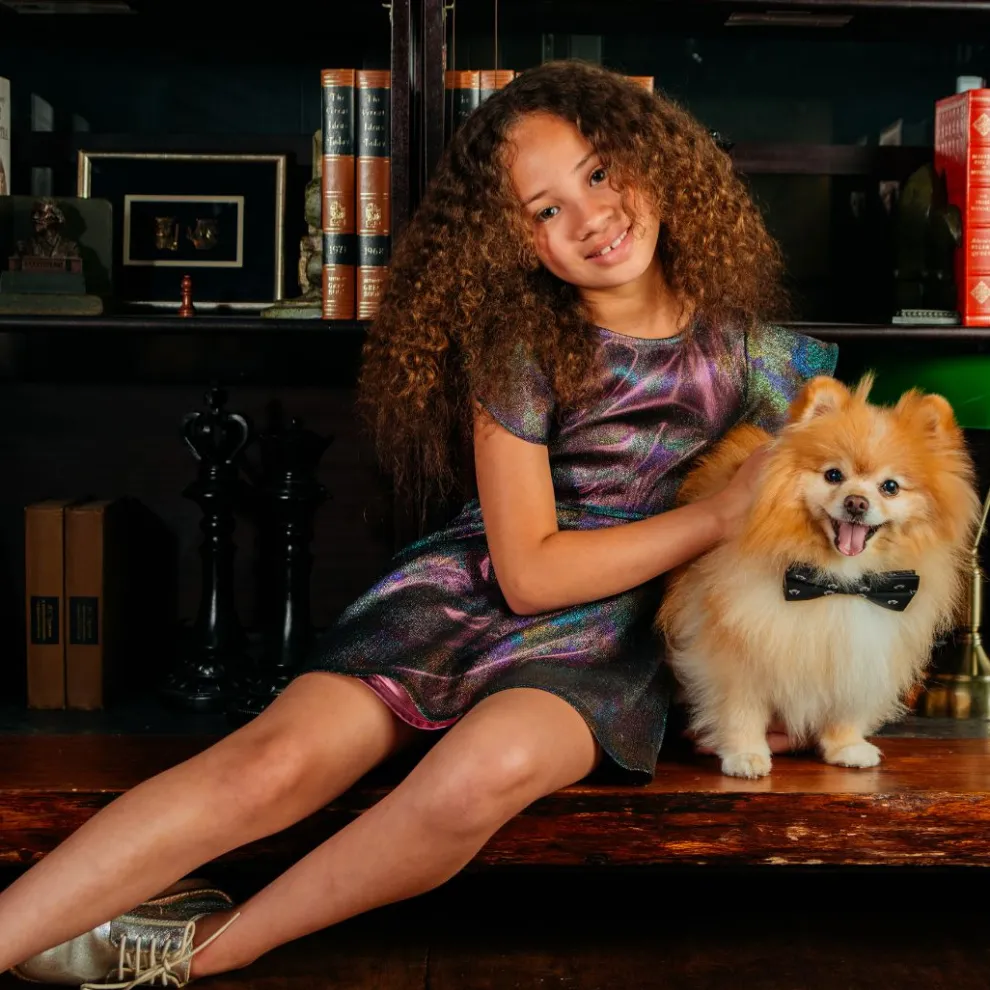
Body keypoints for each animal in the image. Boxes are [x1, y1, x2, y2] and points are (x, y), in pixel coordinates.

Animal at [657, 374, 979, 778]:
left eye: (890, 486)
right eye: (833, 475)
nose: (856, 502)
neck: (839, 584)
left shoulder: (860, 649)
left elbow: (846, 702)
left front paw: (846, 746)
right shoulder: (737, 648)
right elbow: (741, 708)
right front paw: (744, 754)